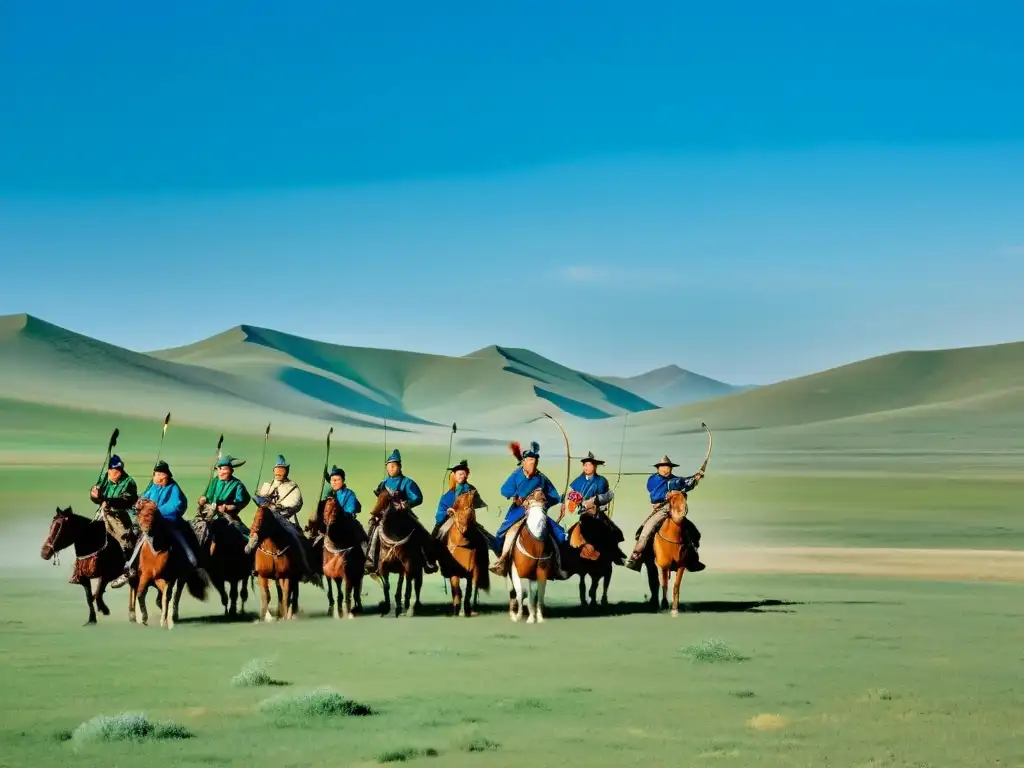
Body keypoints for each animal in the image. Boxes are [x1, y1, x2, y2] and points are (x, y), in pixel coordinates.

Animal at [135, 499, 210, 630]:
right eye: (140, 513)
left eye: (153, 513)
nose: (147, 530)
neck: (156, 550)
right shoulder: (146, 575)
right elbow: (141, 593)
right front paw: (144, 618)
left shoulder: (167, 577)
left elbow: (167, 595)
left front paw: (164, 619)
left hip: (181, 577)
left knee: (176, 594)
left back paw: (173, 615)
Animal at [507, 493, 557, 626]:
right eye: (527, 504)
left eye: (545, 503)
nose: (539, 527)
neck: (534, 548)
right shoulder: (519, 571)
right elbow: (521, 593)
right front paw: (520, 616)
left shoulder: (541, 572)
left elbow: (539, 594)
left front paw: (538, 617)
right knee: (517, 592)